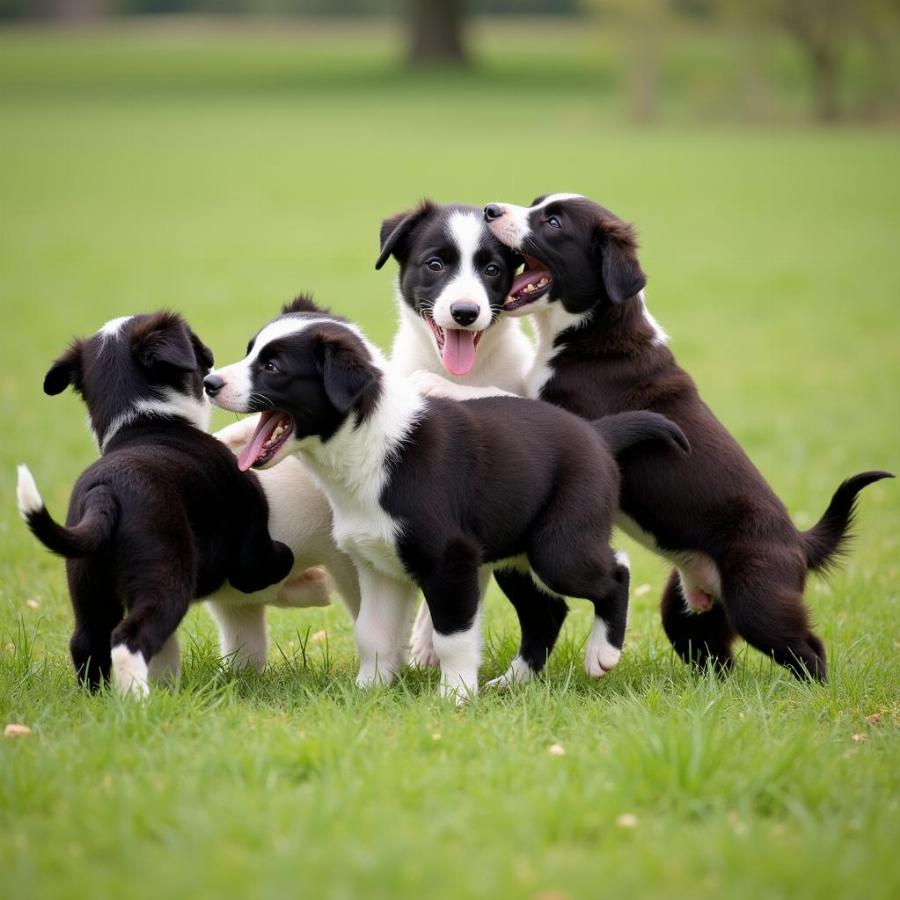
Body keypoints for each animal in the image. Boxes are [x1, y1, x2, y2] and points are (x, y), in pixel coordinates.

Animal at [15, 310, 294, 696]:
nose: (209, 364)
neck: (145, 420)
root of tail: (104, 492)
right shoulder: (250, 541)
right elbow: (275, 561)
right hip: (165, 574)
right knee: (129, 638)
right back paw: (138, 699)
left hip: (86, 585)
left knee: (86, 640)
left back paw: (95, 699)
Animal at [206, 298, 688, 700]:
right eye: (251, 352)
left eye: (273, 366)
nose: (210, 381)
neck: (367, 446)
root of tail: (597, 433)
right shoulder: (375, 562)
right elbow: (372, 632)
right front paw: (367, 691)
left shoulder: (450, 559)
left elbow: (451, 635)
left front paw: (455, 695)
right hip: (514, 556)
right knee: (545, 612)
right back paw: (512, 681)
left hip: (558, 547)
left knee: (615, 571)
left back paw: (601, 654)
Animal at [482, 193, 888, 680]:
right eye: (535, 204)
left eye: (554, 222)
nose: (489, 210)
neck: (593, 329)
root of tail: (799, 543)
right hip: (684, 609)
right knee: (716, 658)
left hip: (759, 599)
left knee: (808, 652)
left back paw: (813, 694)